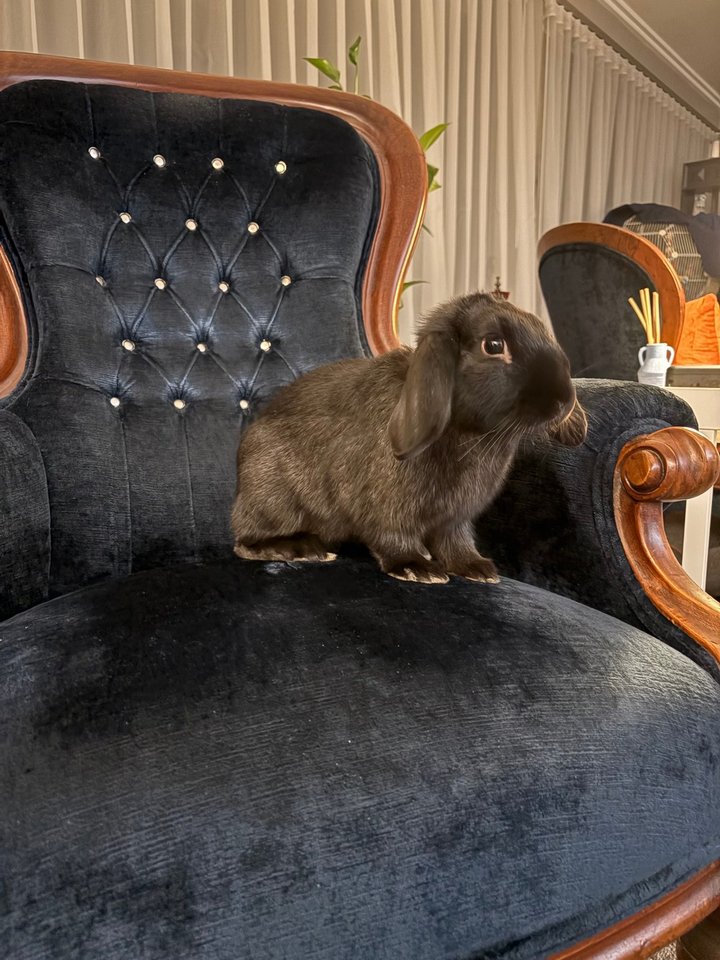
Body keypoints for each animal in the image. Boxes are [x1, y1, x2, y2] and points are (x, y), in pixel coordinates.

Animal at [231, 291, 587, 584]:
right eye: (494, 345)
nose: (563, 399)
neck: (469, 433)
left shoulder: (454, 520)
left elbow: (456, 543)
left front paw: (477, 569)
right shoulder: (387, 510)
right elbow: (393, 537)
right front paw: (418, 568)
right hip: (273, 497)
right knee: (245, 541)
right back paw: (304, 548)